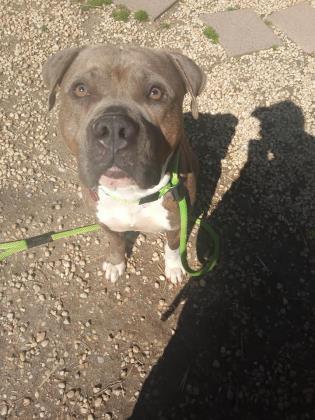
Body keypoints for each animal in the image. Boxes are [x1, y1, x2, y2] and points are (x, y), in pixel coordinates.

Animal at [42, 45, 207, 282]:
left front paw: (175, 267)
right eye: (81, 89)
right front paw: (115, 263)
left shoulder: (176, 224)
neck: (131, 196)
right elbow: (115, 243)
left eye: (155, 92)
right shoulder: (105, 222)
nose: (113, 127)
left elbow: (173, 248)